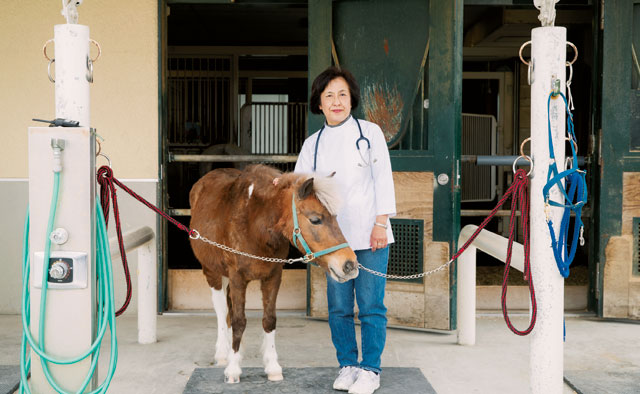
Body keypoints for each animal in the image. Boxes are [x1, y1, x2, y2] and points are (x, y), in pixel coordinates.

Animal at [190, 163, 360, 382]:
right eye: (315, 219)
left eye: (335, 217)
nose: (350, 265)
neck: (254, 225)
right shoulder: (237, 278)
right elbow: (238, 321)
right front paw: (233, 369)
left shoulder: (273, 276)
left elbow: (269, 320)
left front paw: (272, 368)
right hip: (212, 272)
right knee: (221, 310)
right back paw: (222, 354)